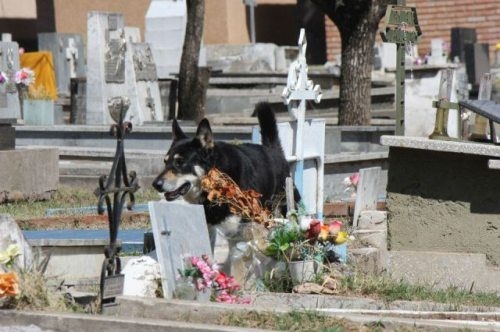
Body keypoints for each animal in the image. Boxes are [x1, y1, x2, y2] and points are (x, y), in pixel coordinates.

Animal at [150, 101, 294, 249]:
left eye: (180, 162)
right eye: (165, 162)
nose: (155, 184)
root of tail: (272, 149)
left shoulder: (240, 233)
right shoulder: (210, 230)